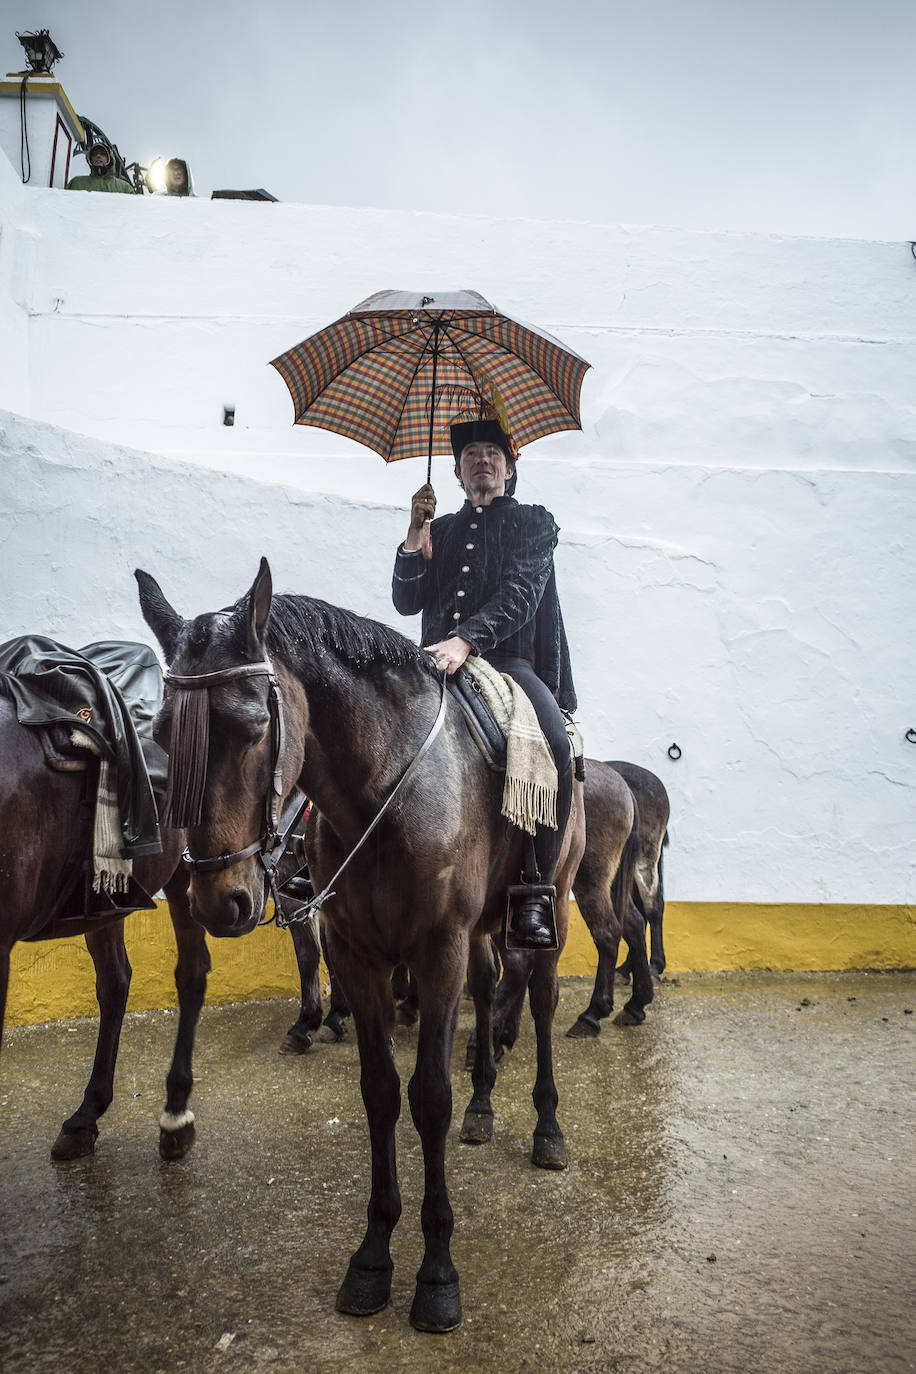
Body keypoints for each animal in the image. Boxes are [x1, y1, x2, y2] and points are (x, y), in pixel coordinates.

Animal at [0, 687, 210, 1159]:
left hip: (188, 873)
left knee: (190, 972)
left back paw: (176, 1114)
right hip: (104, 900)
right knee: (115, 981)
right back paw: (85, 1117)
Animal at [137, 557, 585, 1330]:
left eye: (251, 726)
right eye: (163, 732)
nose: (216, 899)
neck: (388, 792)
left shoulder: (437, 951)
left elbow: (427, 1095)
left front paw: (436, 1273)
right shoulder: (359, 954)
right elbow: (380, 1093)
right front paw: (373, 1257)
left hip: (543, 915)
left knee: (541, 1000)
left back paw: (546, 1129)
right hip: (478, 935)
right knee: (490, 987)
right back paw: (484, 1105)